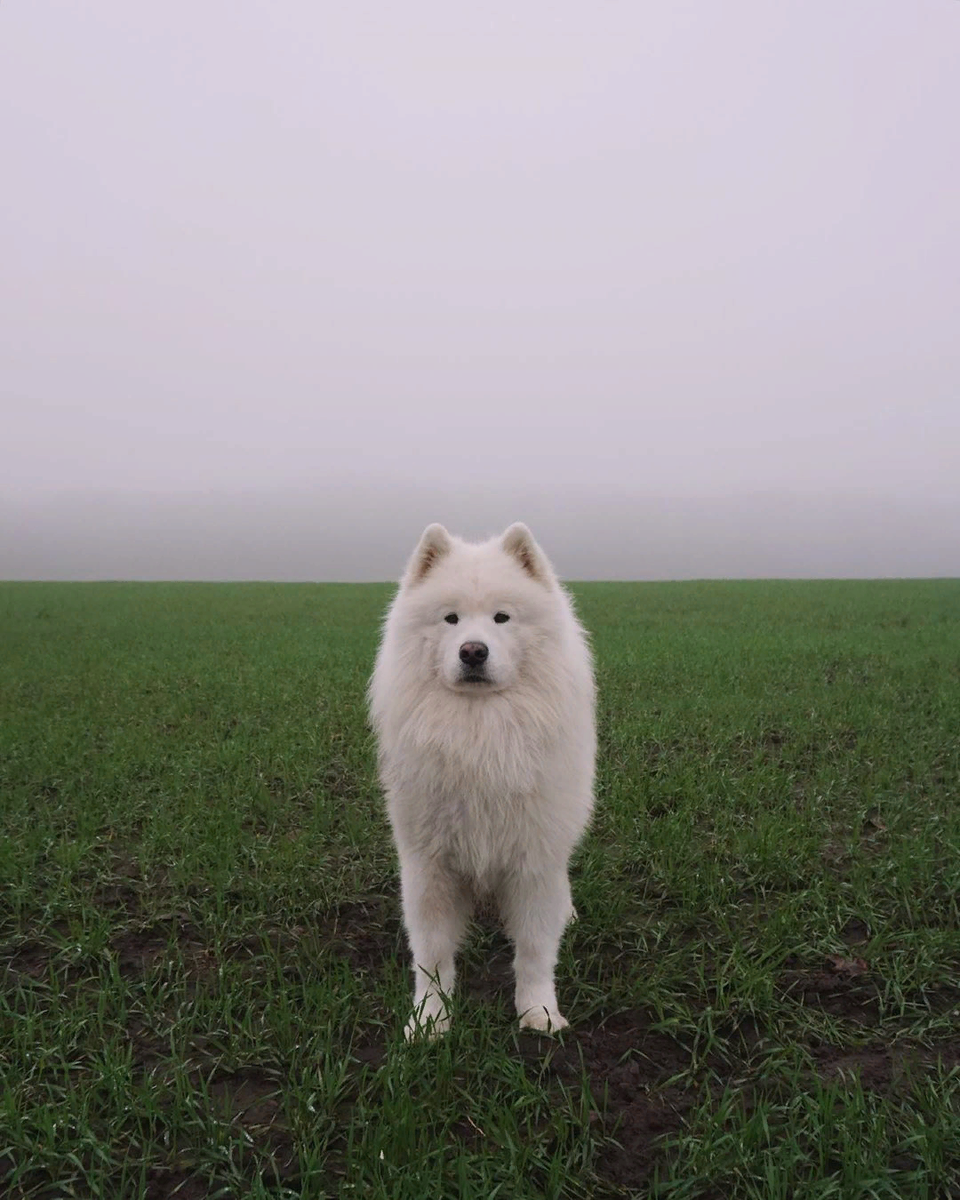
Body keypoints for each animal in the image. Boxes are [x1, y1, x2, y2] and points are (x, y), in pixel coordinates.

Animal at [367, 525, 592, 1041]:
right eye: (450, 619)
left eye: (502, 618)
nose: (473, 650)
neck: (479, 730)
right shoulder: (429, 865)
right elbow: (432, 954)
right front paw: (430, 1020)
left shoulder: (534, 862)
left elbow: (535, 950)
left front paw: (538, 1012)